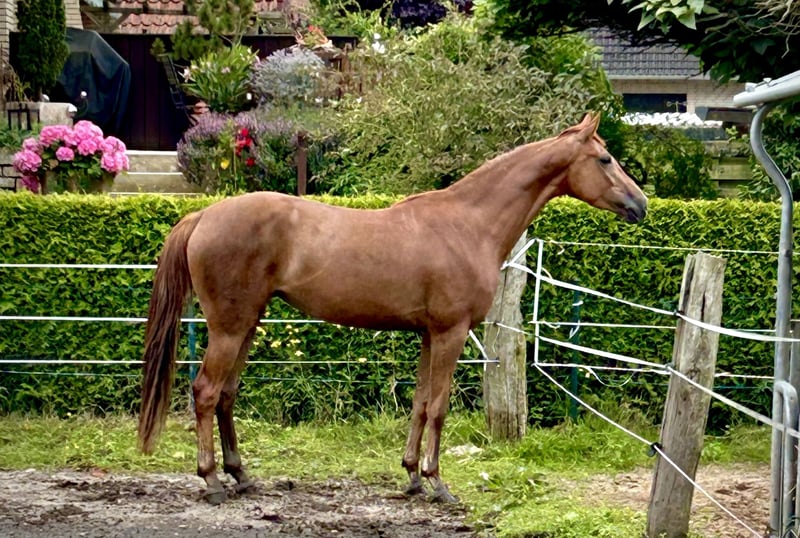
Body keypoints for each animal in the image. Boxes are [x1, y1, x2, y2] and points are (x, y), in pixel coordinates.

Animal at [137, 113, 647, 505]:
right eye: (605, 159)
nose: (639, 204)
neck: (468, 224)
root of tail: (203, 215)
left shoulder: (428, 335)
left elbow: (419, 404)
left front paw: (412, 477)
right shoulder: (450, 333)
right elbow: (438, 407)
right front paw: (438, 484)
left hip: (247, 324)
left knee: (226, 394)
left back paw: (241, 476)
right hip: (229, 326)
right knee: (205, 392)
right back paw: (212, 481)